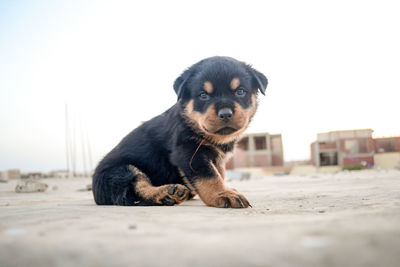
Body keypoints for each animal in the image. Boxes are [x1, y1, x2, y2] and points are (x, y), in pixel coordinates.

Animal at [93, 56, 268, 209]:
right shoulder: (189, 152)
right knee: (136, 188)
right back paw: (166, 193)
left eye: (240, 92)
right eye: (203, 95)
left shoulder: (215, 158)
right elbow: (210, 176)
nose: (225, 114)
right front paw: (223, 194)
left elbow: (220, 173)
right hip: (120, 171)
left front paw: (226, 189)